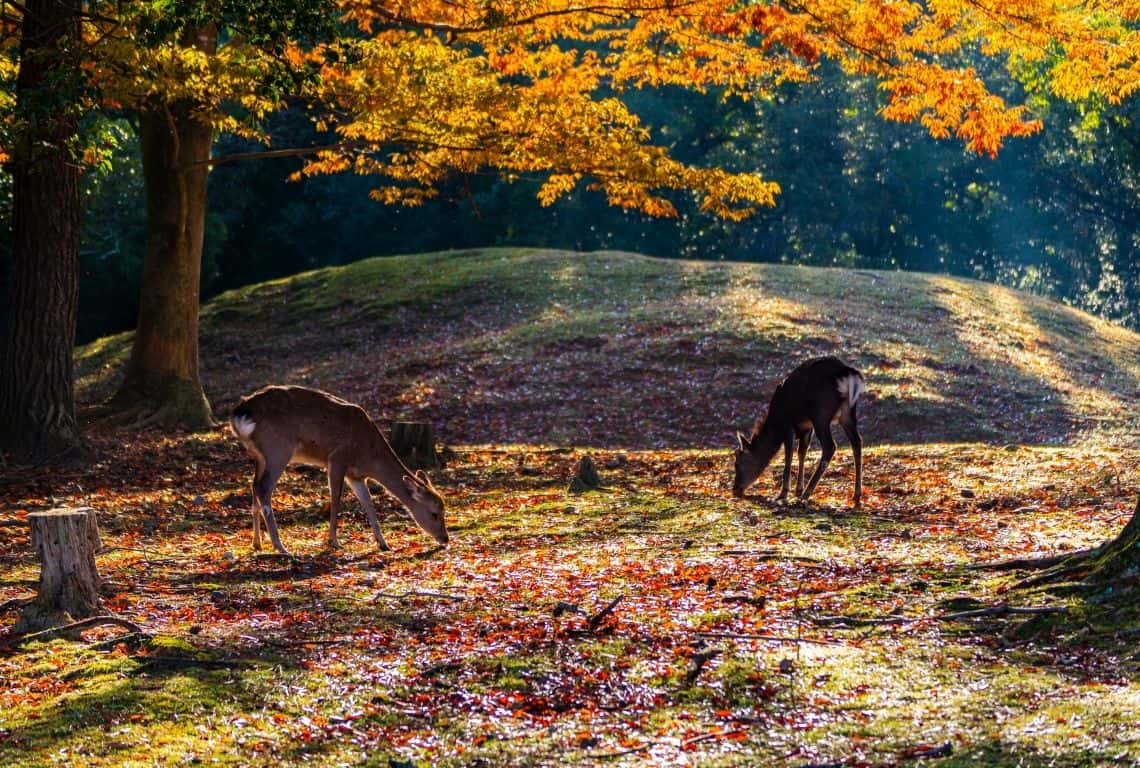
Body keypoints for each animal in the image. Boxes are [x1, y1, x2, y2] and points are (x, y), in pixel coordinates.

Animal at [228, 385, 449, 553]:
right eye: (434, 513)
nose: (445, 539)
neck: (369, 455)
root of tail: (240, 413)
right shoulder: (336, 459)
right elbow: (336, 499)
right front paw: (334, 541)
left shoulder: (356, 475)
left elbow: (368, 503)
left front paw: (384, 544)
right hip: (278, 449)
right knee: (263, 487)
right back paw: (281, 547)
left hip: (259, 455)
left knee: (253, 485)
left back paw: (257, 543)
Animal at [734, 355, 866, 505]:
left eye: (737, 463)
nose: (735, 489)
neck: (775, 424)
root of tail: (847, 373)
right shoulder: (806, 427)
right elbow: (801, 452)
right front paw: (797, 489)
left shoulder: (788, 425)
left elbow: (789, 456)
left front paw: (783, 493)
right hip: (847, 413)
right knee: (857, 442)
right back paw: (856, 494)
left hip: (820, 414)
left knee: (830, 446)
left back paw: (806, 494)